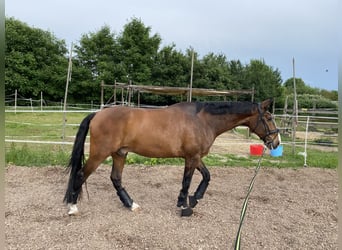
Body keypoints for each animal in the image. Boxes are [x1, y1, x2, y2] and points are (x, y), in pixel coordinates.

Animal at [64, 98, 280, 216]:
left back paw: (131, 205)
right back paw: (73, 207)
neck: (203, 120)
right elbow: (187, 181)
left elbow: (207, 176)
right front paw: (185, 206)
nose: (276, 142)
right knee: (81, 175)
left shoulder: (196, 157)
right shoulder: (191, 157)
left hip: (120, 153)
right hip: (100, 153)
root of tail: (97, 114)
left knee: (116, 178)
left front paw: (195, 198)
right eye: (269, 118)